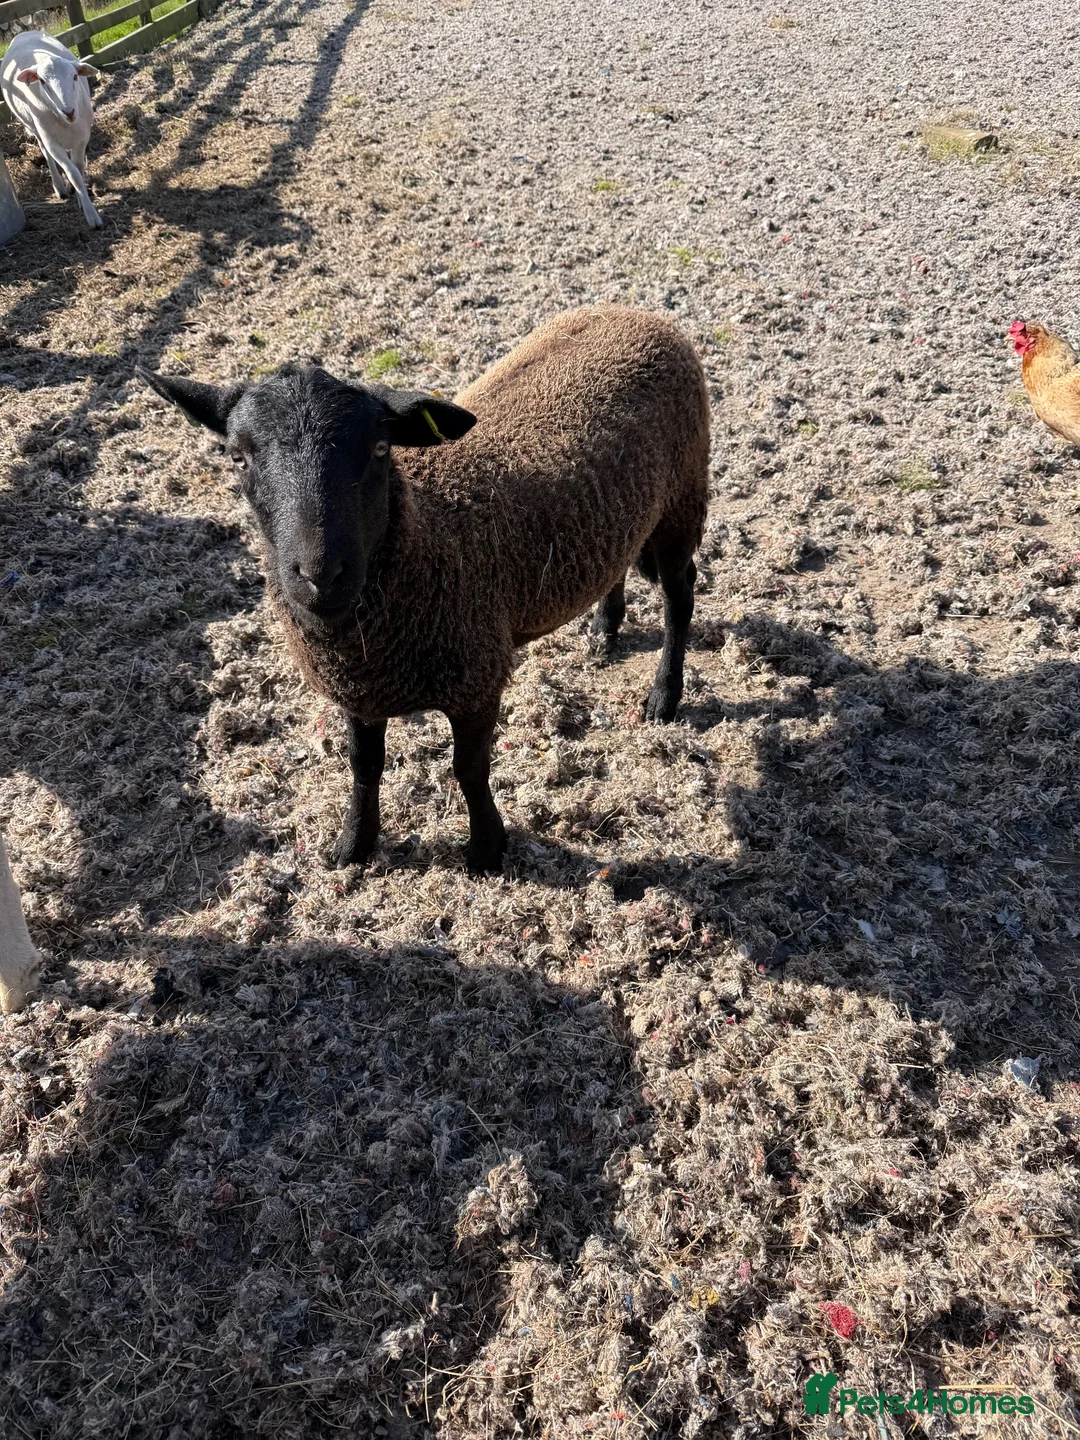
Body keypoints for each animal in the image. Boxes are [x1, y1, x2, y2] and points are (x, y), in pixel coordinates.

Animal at [0, 32, 102, 229]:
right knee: (46, 154)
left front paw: (81, 199)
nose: (69, 111)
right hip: (37, 129)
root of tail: (24, 33)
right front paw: (91, 215)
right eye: (42, 81)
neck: (66, 122)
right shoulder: (52, 142)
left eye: (75, 77)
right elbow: (73, 174)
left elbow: (79, 167)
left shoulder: (82, 138)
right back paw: (60, 187)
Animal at [138, 306, 710, 872]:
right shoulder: (359, 688)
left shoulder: (476, 676)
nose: (321, 576)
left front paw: (485, 851)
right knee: (620, 566)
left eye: (379, 448)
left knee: (679, 597)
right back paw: (603, 630)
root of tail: (633, 312)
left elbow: (468, 769)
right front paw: (353, 845)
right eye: (237, 458)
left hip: (684, 495)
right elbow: (364, 766)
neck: (426, 532)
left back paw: (664, 697)